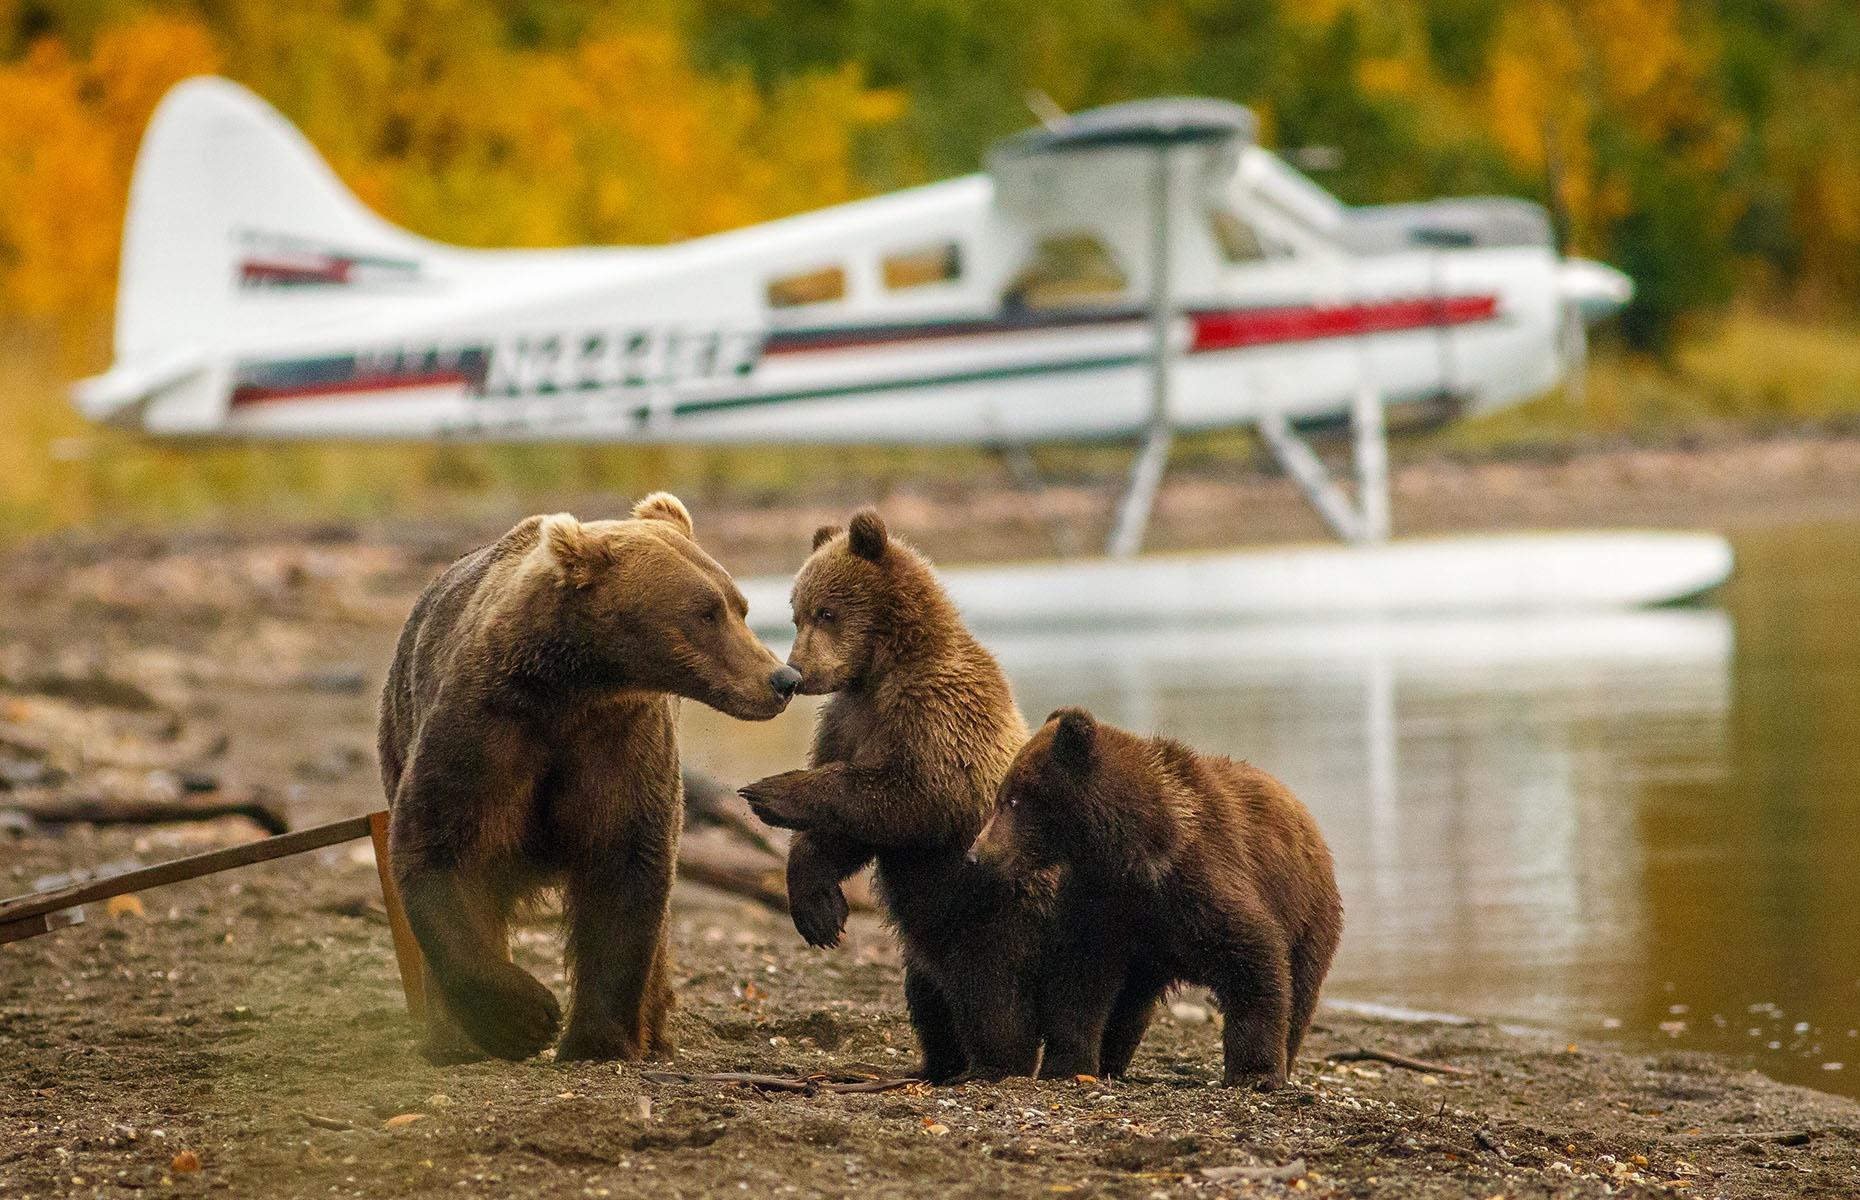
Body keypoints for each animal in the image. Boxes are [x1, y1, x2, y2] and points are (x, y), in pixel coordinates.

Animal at [377, 491, 799, 1064]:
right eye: (704, 612)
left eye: (739, 606)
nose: (783, 679)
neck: (575, 688)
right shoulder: (484, 732)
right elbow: (438, 848)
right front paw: (525, 1016)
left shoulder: (620, 743)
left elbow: (624, 867)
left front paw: (596, 1039)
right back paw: (451, 1038)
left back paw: (656, 1032)